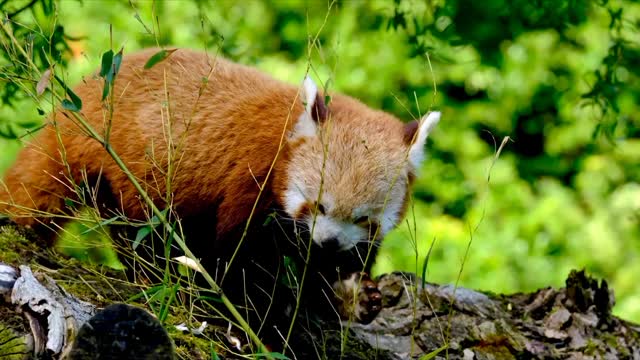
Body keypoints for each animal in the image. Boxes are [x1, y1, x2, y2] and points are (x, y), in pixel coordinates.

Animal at [0, 47, 440, 326]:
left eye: (363, 218)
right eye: (318, 205)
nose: (329, 242)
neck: (286, 142)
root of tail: (83, 98)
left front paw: (352, 294)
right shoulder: (251, 188)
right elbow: (242, 266)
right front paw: (261, 317)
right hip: (131, 172)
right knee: (146, 237)